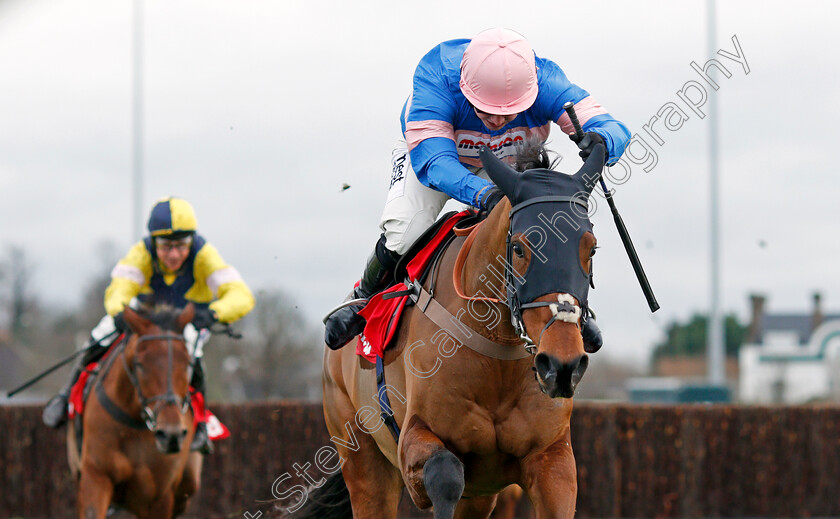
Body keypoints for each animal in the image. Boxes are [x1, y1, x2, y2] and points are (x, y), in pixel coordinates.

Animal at [66, 304, 201, 519]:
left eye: (188, 363)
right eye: (140, 364)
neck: (132, 423)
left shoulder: (160, 496)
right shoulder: (96, 476)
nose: (171, 434)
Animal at [280, 142, 604, 519]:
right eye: (520, 248)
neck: (497, 352)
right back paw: (344, 318)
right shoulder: (414, 440)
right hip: (363, 461)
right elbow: (445, 473)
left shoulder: (551, 457)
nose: (562, 365)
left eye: (591, 248)